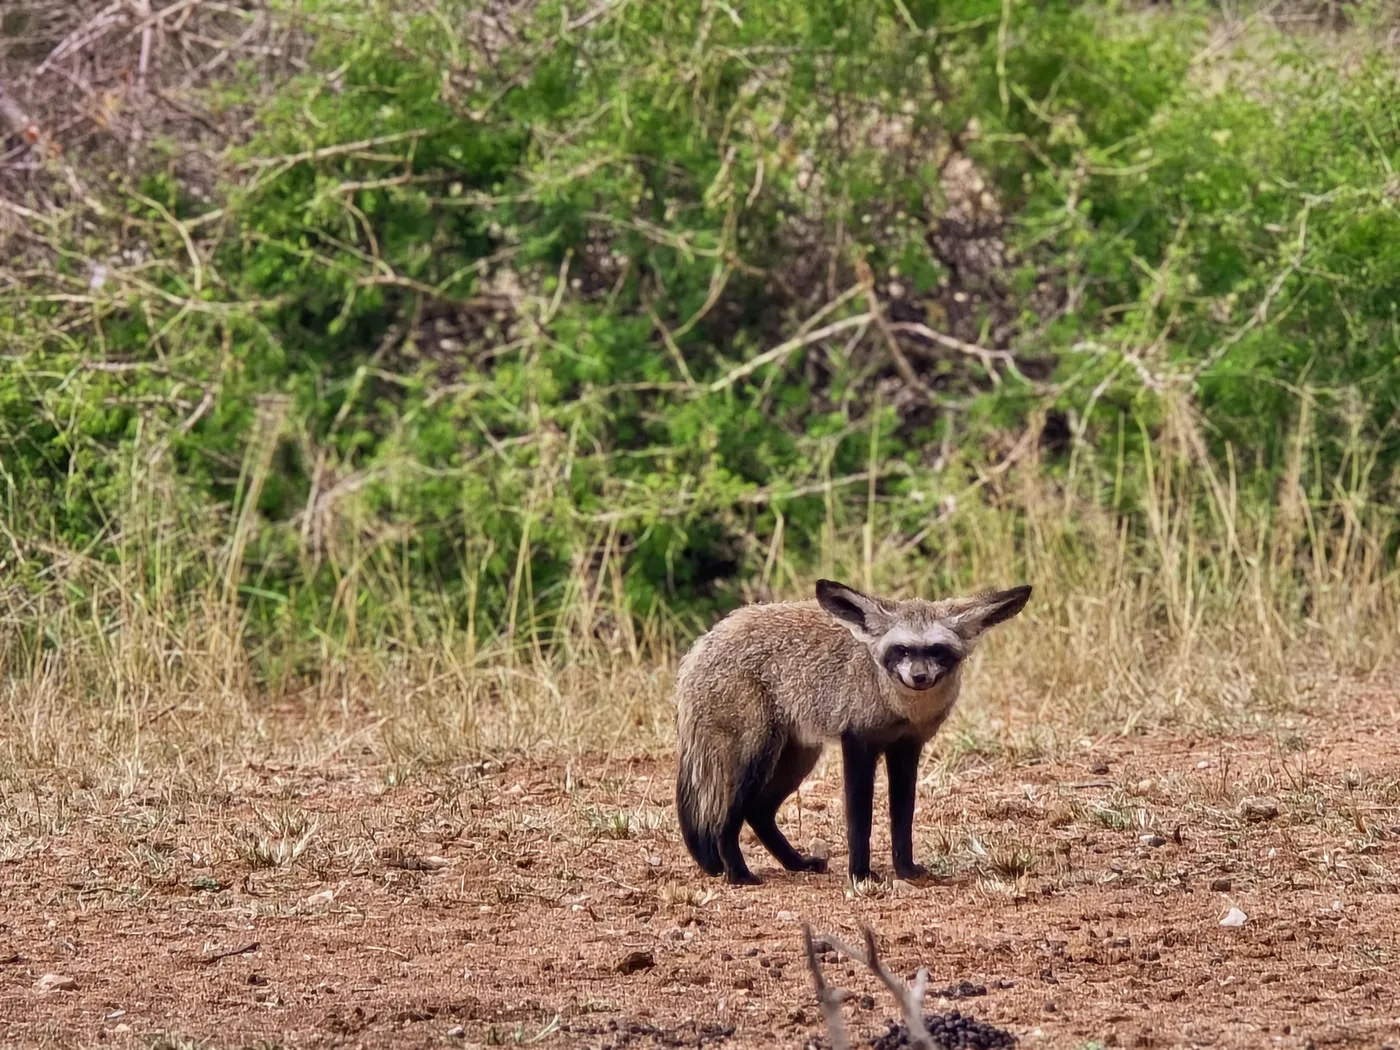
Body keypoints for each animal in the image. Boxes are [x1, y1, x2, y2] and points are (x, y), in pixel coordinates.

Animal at [673, 578, 1031, 885]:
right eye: (902, 650)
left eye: (936, 650)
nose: (919, 677)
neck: (896, 705)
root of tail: (700, 646)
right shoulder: (859, 742)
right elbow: (860, 819)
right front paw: (860, 873)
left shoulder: (906, 747)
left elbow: (902, 817)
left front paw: (905, 869)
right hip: (756, 755)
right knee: (726, 819)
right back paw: (738, 874)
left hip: (797, 759)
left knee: (758, 812)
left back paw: (796, 863)